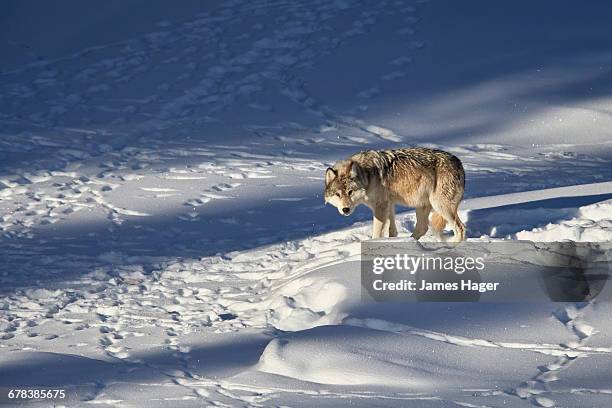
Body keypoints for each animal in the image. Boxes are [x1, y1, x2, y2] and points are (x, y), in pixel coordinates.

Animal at [326, 147, 464, 241]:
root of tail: (459, 163)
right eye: (338, 194)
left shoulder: (380, 207)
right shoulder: (389, 205)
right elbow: (392, 230)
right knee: (422, 227)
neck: (367, 175)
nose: (345, 209)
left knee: (460, 228)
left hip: (441, 206)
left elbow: (377, 233)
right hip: (422, 206)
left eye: (350, 192)